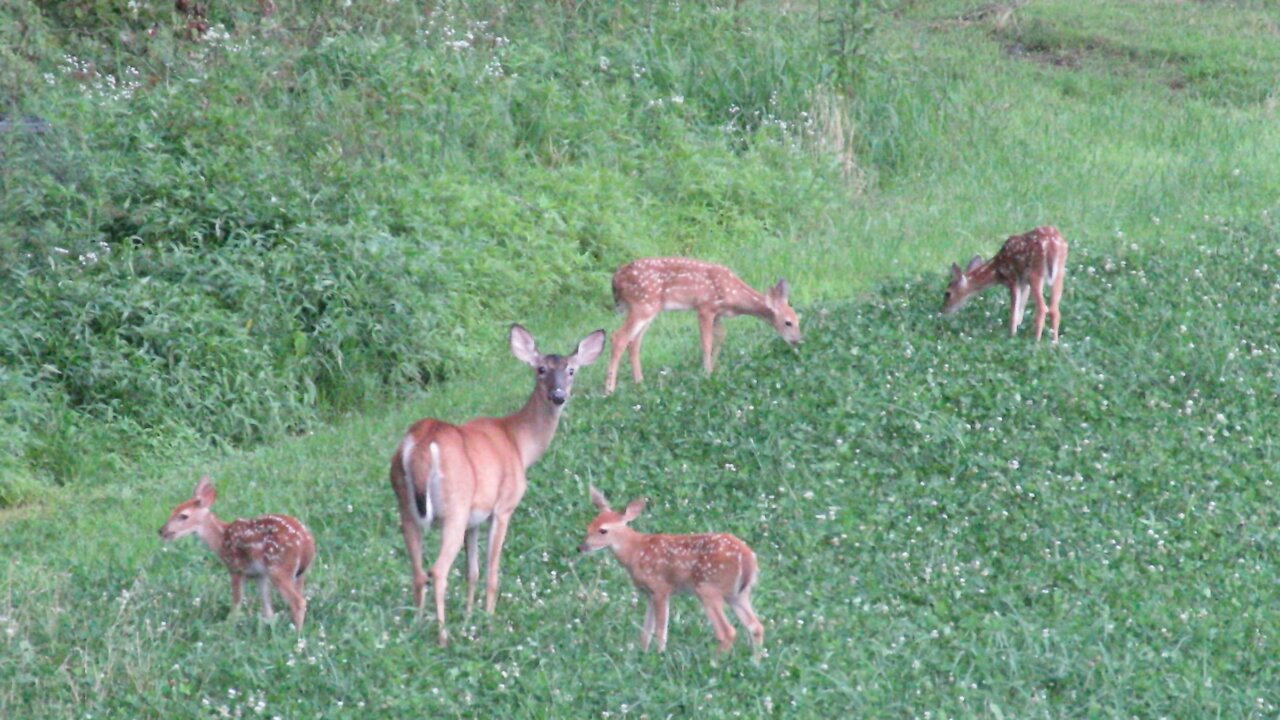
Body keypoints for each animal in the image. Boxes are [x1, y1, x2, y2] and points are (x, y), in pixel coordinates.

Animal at [158, 476, 317, 627]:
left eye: (183, 516)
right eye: (173, 511)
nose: (162, 531)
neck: (221, 539)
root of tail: (307, 544)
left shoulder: (236, 568)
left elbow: (236, 603)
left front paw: (227, 626)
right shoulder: (260, 574)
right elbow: (268, 609)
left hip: (279, 568)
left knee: (299, 602)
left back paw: (297, 633)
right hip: (299, 573)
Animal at [389, 322, 604, 640]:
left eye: (571, 370)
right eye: (540, 369)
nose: (558, 395)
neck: (519, 443)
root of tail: (421, 444)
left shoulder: (474, 520)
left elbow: (473, 572)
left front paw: (469, 617)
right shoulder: (503, 507)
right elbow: (492, 572)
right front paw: (488, 619)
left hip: (406, 507)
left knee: (417, 572)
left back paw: (416, 628)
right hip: (455, 506)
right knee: (437, 570)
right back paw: (443, 636)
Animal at [578, 484, 757, 653]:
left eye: (603, 530)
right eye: (588, 526)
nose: (581, 547)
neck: (635, 551)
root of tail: (748, 558)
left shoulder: (661, 588)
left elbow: (660, 630)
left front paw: (659, 653)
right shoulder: (649, 593)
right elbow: (646, 630)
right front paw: (643, 652)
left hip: (709, 588)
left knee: (728, 632)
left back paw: (715, 660)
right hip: (739, 594)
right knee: (755, 626)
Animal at [601, 256, 798, 392]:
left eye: (799, 320)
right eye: (788, 322)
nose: (798, 340)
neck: (733, 295)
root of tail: (615, 280)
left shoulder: (717, 314)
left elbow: (721, 336)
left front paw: (713, 369)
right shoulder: (705, 307)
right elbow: (707, 341)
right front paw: (707, 373)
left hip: (648, 308)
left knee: (634, 342)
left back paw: (639, 383)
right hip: (643, 305)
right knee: (619, 337)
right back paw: (609, 390)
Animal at [942, 222, 1070, 340]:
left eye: (948, 293)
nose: (943, 310)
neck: (996, 270)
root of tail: (1052, 245)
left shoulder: (1012, 278)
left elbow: (1013, 312)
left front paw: (1012, 334)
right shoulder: (1024, 283)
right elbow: (1020, 309)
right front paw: (1018, 328)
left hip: (1036, 272)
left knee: (1043, 308)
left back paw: (1036, 341)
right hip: (1060, 272)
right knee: (1054, 310)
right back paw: (1054, 342)